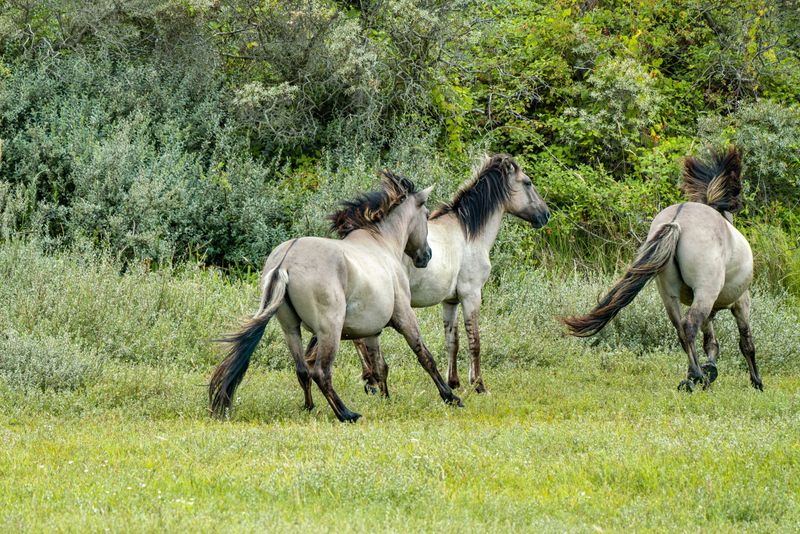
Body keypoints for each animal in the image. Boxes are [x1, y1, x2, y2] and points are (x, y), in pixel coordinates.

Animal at [209, 170, 462, 423]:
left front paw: (386, 399)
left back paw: (310, 407)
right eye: (426, 215)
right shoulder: (404, 316)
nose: (426, 256)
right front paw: (450, 397)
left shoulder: (372, 331)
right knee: (321, 371)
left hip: (290, 328)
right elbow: (424, 355)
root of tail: (285, 262)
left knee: (302, 369)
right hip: (330, 329)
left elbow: (380, 366)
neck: (382, 243)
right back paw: (346, 413)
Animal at [345, 154, 550, 395]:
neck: (469, 234)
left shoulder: (450, 301)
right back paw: (371, 380)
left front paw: (454, 382)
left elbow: (452, 341)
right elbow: (475, 341)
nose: (545, 214)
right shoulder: (471, 295)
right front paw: (478, 385)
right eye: (527, 182)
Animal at [563, 147, 763, 392]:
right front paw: (756, 382)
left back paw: (693, 377)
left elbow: (711, 343)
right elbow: (746, 343)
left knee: (681, 330)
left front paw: (711, 370)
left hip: (669, 294)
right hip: (705, 293)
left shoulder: (712, 310)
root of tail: (677, 222)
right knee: (689, 326)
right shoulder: (741, 302)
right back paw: (697, 376)